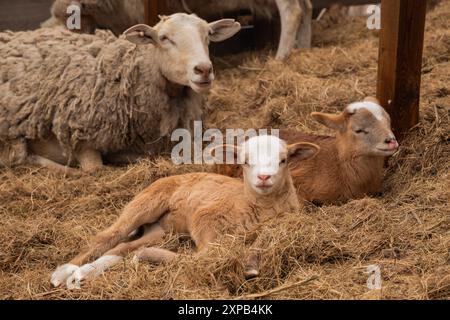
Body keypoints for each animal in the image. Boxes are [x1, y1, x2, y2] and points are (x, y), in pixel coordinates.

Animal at [51, 134, 320, 288]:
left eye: (284, 160)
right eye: (244, 162)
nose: (264, 178)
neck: (254, 204)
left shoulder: (281, 222)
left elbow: (263, 240)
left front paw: (252, 264)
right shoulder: (205, 218)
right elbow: (203, 257)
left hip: (160, 229)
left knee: (122, 247)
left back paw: (84, 273)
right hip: (146, 203)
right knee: (108, 237)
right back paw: (63, 272)